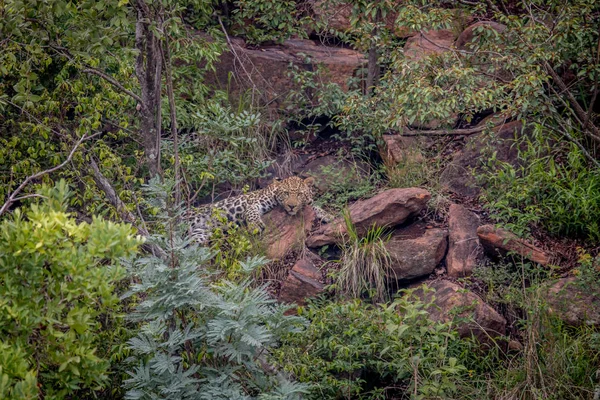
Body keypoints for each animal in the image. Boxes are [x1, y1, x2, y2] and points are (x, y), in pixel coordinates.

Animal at [186, 176, 332, 244]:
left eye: (299, 194)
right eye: (286, 193)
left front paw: (327, 215)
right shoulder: (254, 202)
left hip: (198, 234)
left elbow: (313, 206)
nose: (291, 206)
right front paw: (256, 225)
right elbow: (251, 211)